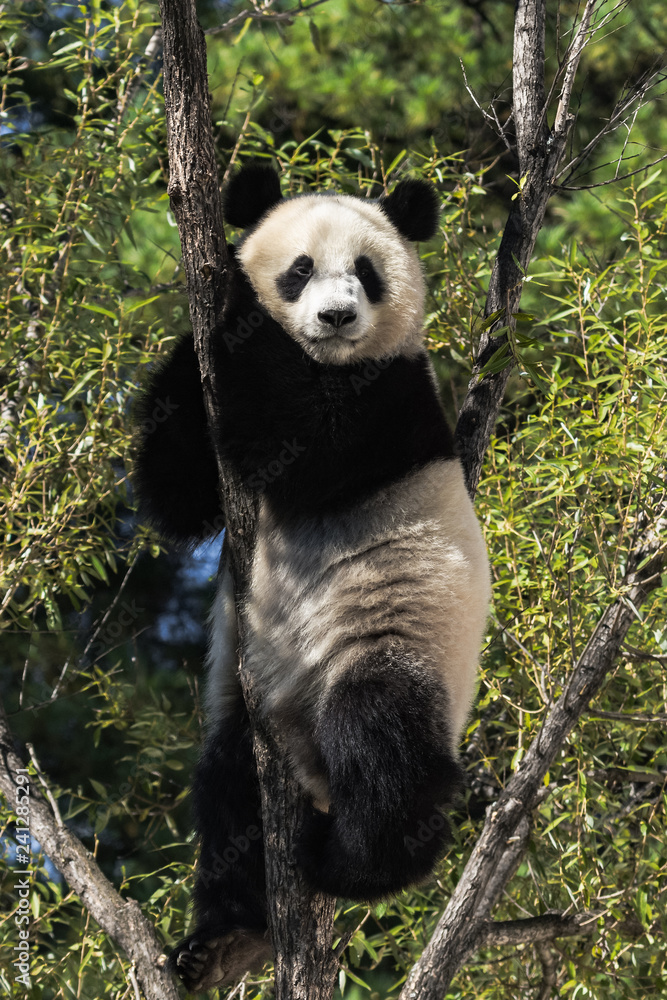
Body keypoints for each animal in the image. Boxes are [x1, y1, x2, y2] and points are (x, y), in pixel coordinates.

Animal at [135, 163, 491, 992]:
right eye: (300, 270)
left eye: (366, 272)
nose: (334, 317)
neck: (326, 362)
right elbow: (178, 493)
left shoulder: (390, 401)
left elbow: (305, 441)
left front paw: (236, 303)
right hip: (253, 709)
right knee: (228, 788)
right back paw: (225, 935)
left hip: (392, 637)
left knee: (383, 739)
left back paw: (358, 862)